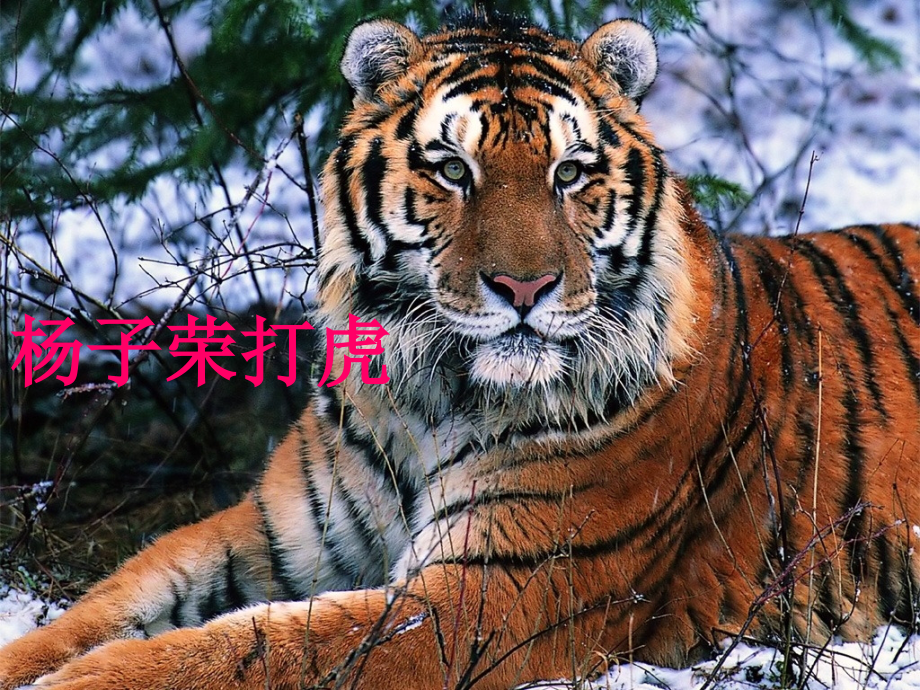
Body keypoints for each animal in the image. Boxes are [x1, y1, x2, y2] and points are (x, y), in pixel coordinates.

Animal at [1, 14, 918, 690]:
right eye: (451, 168)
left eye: (570, 172)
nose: (525, 287)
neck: (426, 393)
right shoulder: (273, 536)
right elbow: (108, 605)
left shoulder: (490, 590)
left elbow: (258, 649)